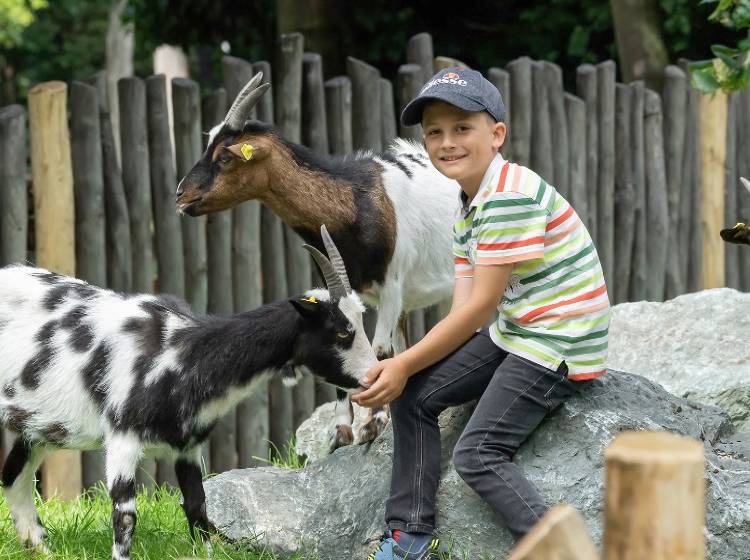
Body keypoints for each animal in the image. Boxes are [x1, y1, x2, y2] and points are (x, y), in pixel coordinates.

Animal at [0, 228, 376, 560]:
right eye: (342, 331)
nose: (372, 376)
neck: (182, 353)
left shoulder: (187, 445)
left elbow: (198, 506)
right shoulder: (122, 437)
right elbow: (125, 516)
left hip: (39, 425)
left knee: (14, 476)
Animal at [176, 72, 458, 448]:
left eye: (225, 157)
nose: (181, 195)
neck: (354, 201)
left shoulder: (391, 284)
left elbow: (380, 349)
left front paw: (373, 424)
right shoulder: (331, 281)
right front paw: (340, 430)